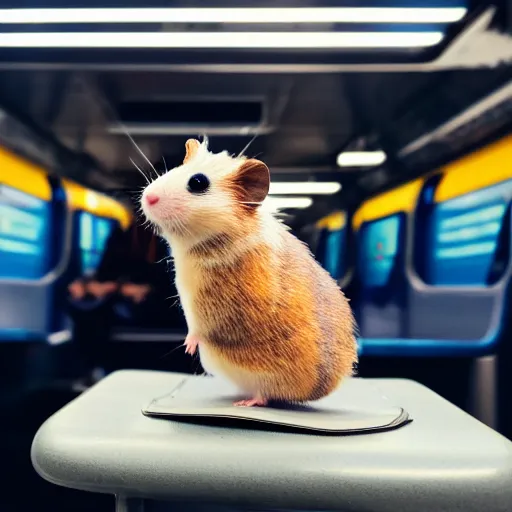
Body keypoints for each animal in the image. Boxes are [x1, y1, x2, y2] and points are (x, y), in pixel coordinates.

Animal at [140, 140, 356, 408]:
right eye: (174, 169)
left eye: (198, 182)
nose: (147, 197)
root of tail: (318, 390)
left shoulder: (212, 306)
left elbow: (198, 329)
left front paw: (188, 347)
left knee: (265, 395)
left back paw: (245, 403)